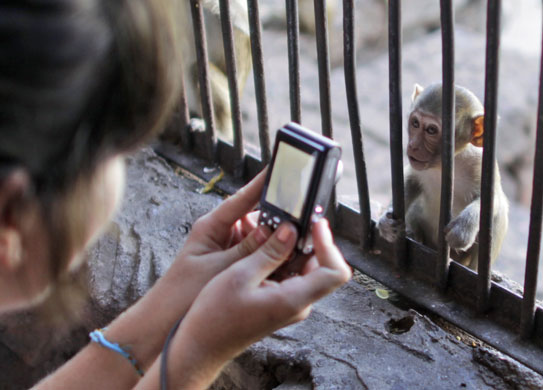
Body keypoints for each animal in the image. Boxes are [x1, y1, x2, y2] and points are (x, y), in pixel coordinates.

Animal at [378, 83, 510, 270]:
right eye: (415, 123)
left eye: (431, 130)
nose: (413, 145)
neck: (444, 164)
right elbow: (411, 181)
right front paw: (386, 220)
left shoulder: (479, 163)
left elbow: (493, 200)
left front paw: (463, 228)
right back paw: (413, 235)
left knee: (498, 217)